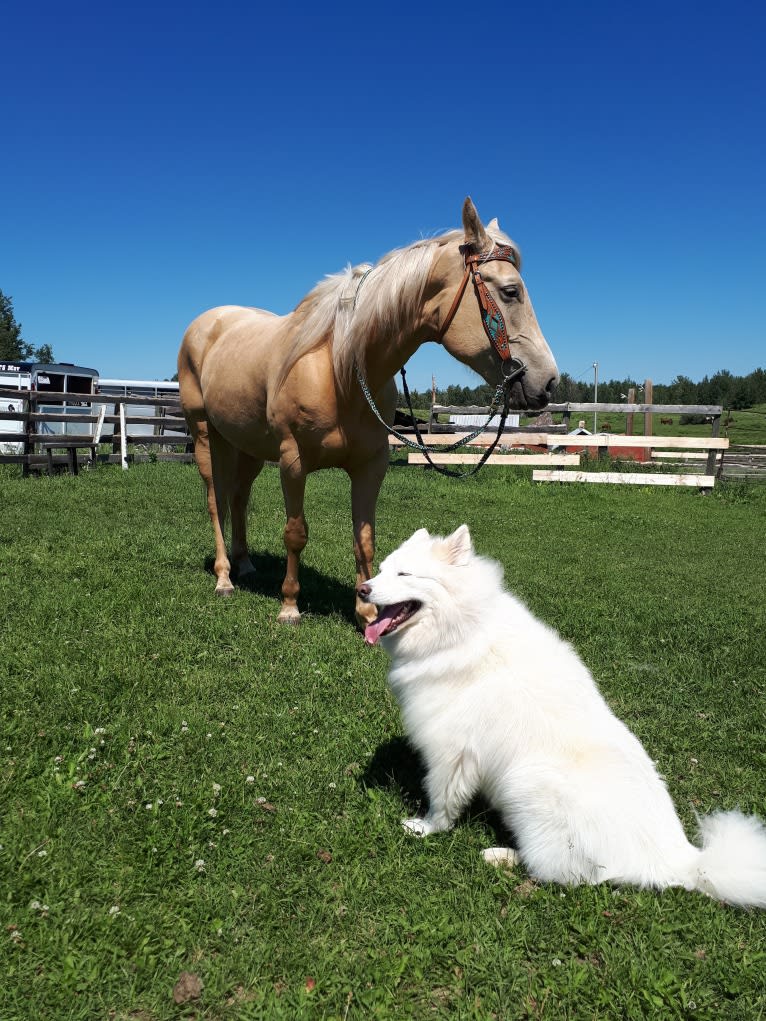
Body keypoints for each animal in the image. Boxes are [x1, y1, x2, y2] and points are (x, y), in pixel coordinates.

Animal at [181, 197, 559, 620]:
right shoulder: (293, 462)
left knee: (238, 497)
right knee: (215, 502)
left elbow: (364, 538)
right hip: (205, 435)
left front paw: (368, 614)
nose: (547, 381)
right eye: (510, 292)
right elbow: (295, 533)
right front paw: (290, 606)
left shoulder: (370, 466)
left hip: (248, 447)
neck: (339, 370)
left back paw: (245, 564)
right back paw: (224, 578)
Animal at [361, 522, 766, 906]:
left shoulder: (451, 752)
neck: (463, 627)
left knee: (573, 875)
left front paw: (425, 829)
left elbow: (441, 802)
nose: (363, 589)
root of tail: (680, 862)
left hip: (528, 782)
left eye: (405, 574)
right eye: (381, 570)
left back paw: (501, 855)